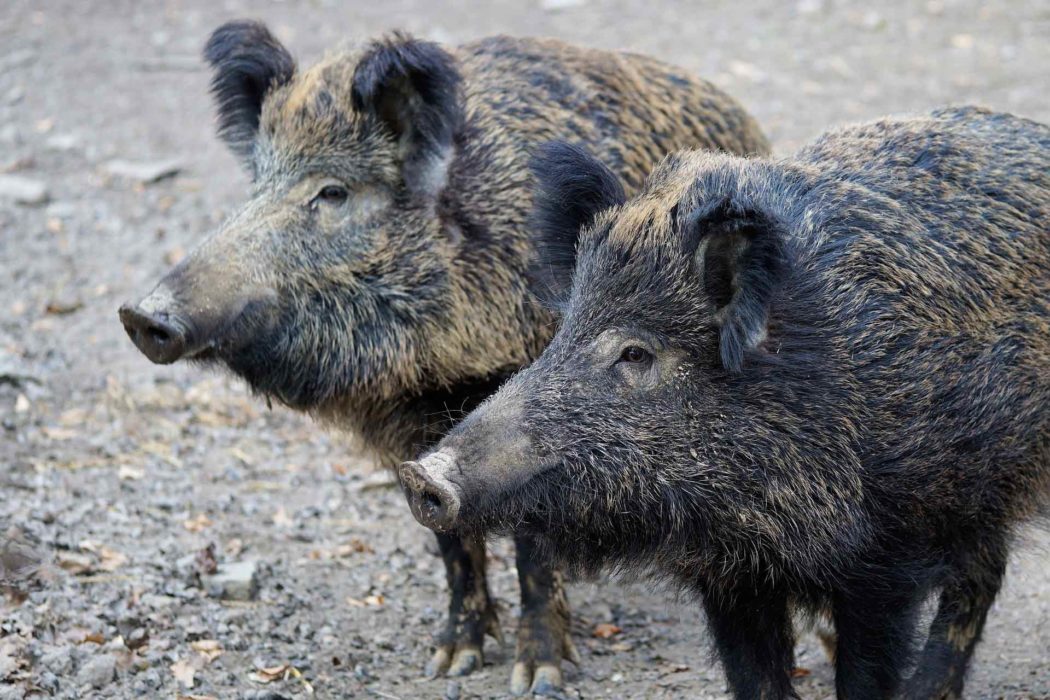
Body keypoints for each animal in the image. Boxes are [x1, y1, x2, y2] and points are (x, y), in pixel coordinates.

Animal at [117, 20, 770, 694]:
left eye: (333, 192)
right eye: (257, 185)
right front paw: (451, 659)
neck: (439, 368)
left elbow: (531, 548)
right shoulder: (412, 433)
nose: (141, 315)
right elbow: (451, 542)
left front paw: (537, 677)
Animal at [400, 106, 1050, 699]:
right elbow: (756, 680)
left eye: (635, 354)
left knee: (979, 578)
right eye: (563, 331)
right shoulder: (729, 575)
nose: (420, 474)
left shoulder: (886, 561)